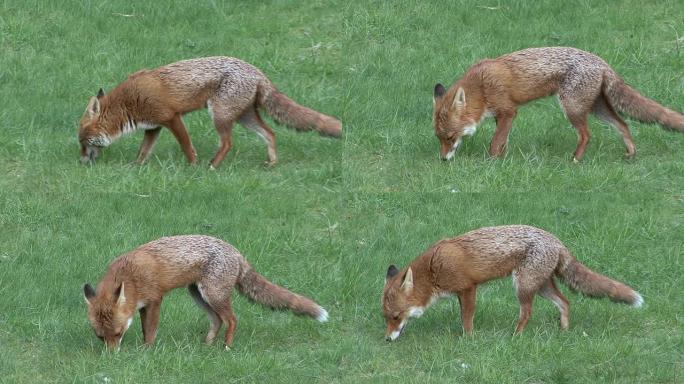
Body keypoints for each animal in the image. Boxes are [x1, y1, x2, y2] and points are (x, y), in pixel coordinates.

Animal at [79, 56, 342, 167]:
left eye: (83, 141)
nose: (81, 161)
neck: (128, 104)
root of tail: (258, 72)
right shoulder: (153, 126)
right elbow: (144, 151)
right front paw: (137, 167)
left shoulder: (172, 118)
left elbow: (187, 146)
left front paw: (193, 166)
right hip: (245, 117)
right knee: (271, 133)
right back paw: (272, 163)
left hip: (220, 116)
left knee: (228, 143)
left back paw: (212, 166)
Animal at [83, 236, 328, 350]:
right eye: (100, 336)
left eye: (118, 333)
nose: (111, 357)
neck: (130, 277)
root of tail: (237, 252)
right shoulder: (142, 305)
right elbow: (145, 329)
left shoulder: (155, 300)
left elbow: (150, 330)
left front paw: (146, 350)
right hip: (198, 295)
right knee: (217, 321)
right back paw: (207, 345)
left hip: (213, 295)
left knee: (232, 319)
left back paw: (227, 346)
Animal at [382, 225, 644, 342]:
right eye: (386, 318)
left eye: (395, 317)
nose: (387, 339)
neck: (432, 269)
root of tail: (557, 240)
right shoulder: (460, 292)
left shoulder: (468, 288)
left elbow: (467, 318)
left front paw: (469, 340)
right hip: (542, 286)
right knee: (565, 302)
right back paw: (564, 331)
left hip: (523, 286)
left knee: (527, 313)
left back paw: (515, 337)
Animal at [432, 46, 684, 160]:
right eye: (440, 138)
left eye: (450, 138)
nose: (443, 160)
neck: (481, 87)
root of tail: (602, 62)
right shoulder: (500, 116)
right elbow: (503, 140)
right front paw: (503, 158)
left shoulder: (509, 111)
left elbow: (496, 142)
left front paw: (492, 162)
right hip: (597, 108)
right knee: (623, 124)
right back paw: (631, 153)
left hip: (572, 107)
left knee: (587, 135)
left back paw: (575, 160)